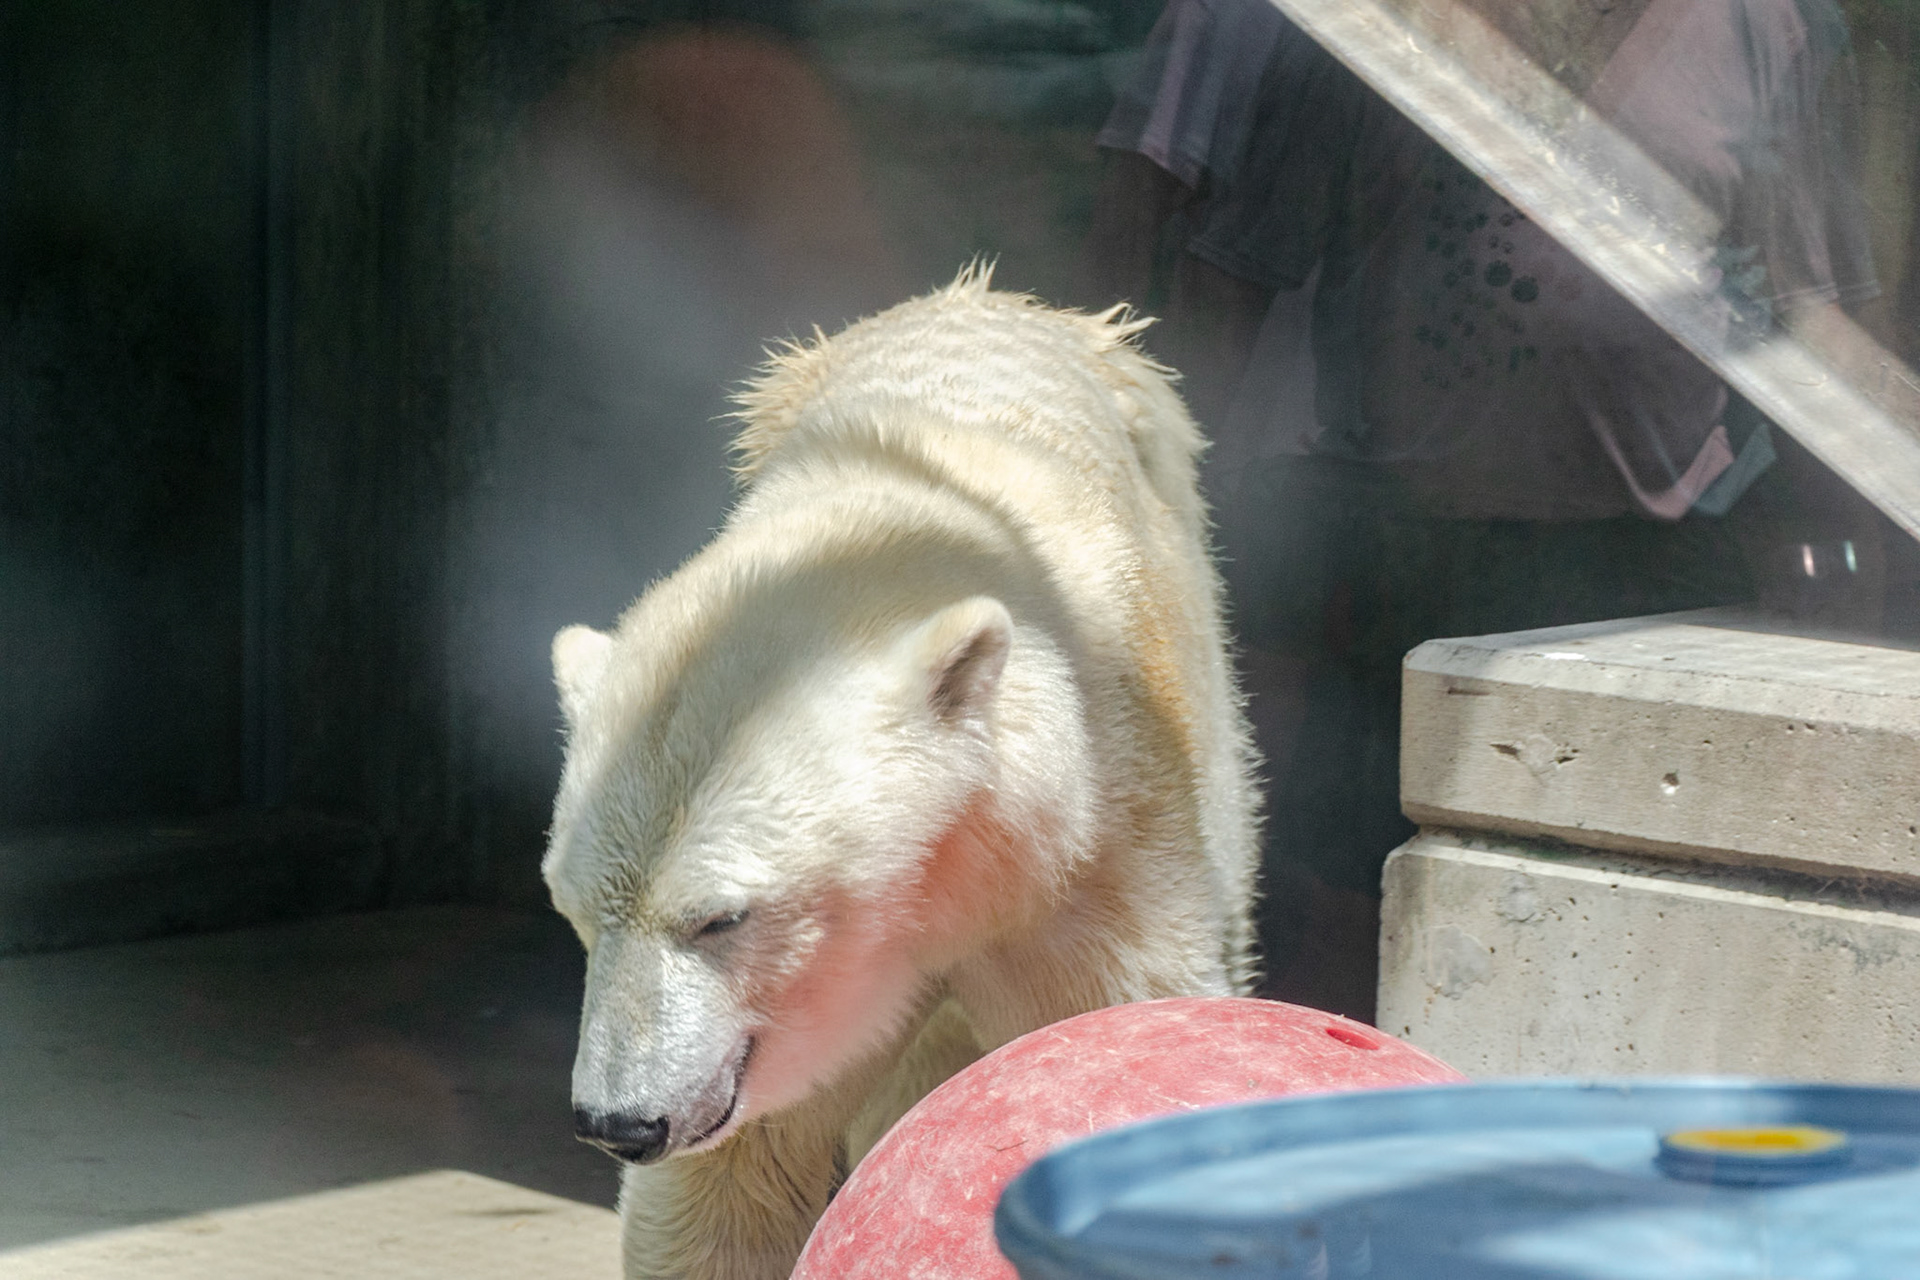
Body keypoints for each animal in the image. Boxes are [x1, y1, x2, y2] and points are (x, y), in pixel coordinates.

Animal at [543, 267, 1260, 1280]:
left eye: (722, 917)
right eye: (571, 910)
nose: (619, 1122)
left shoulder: (1096, 853)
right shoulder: (783, 1032)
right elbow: (734, 1185)